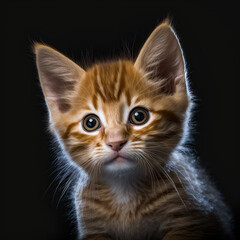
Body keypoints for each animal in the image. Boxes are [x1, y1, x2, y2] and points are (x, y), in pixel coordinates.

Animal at [33, 19, 232, 239]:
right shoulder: (93, 228)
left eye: (139, 116)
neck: (125, 192)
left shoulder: (188, 216)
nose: (115, 142)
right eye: (90, 123)